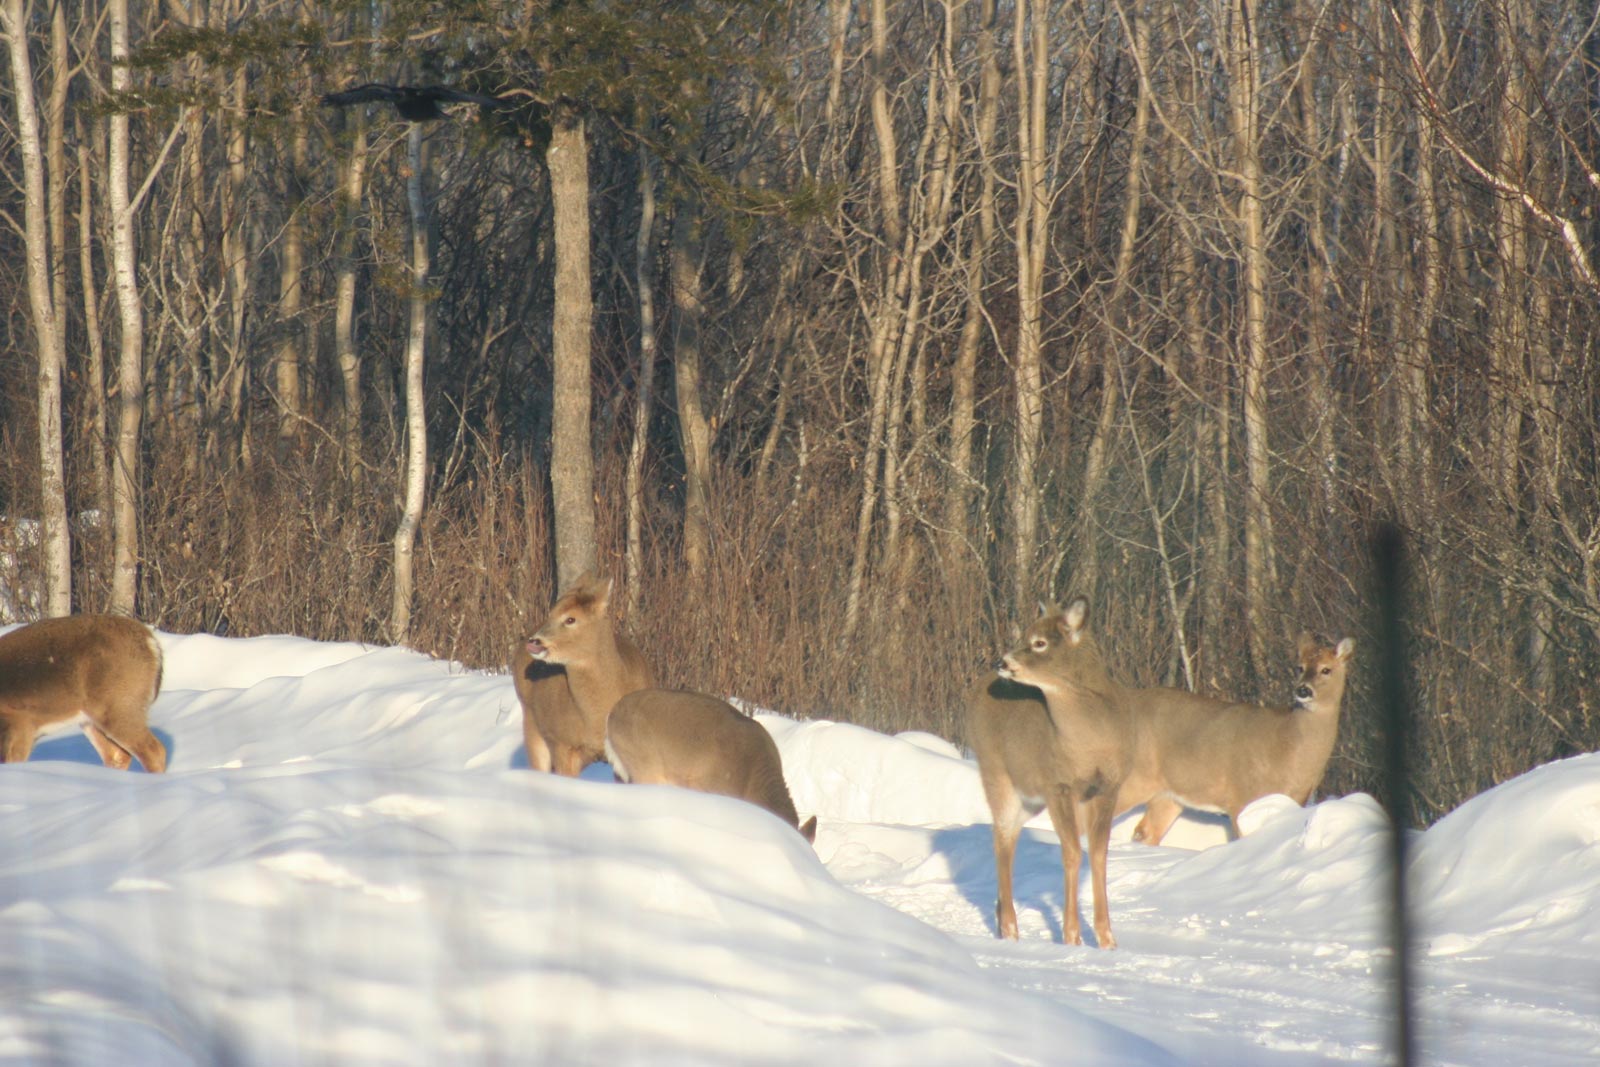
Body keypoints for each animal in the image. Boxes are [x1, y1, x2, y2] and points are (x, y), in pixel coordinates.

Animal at [0, 614, 167, 773]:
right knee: (117, 755)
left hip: (119, 705)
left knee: (154, 751)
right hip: (91, 719)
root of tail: (151, 642)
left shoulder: (20, 722)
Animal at [967, 597, 1141, 948]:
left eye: (1039, 643)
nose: (1002, 661)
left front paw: (1107, 939)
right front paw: (1072, 936)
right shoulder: (1058, 784)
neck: (1093, 740)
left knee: (1009, 835)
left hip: (1029, 798)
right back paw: (1010, 929)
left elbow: (1099, 853)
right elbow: (1072, 852)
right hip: (996, 772)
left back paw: (1001, 919)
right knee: (1001, 839)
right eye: (1024, 635)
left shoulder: (1108, 787)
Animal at [1123, 633, 1356, 845]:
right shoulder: (1241, 795)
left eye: (1326, 669)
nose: (1303, 690)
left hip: (1167, 794)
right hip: (1134, 777)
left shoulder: (1297, 798)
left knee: (1145, 832)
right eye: (1300, 667)